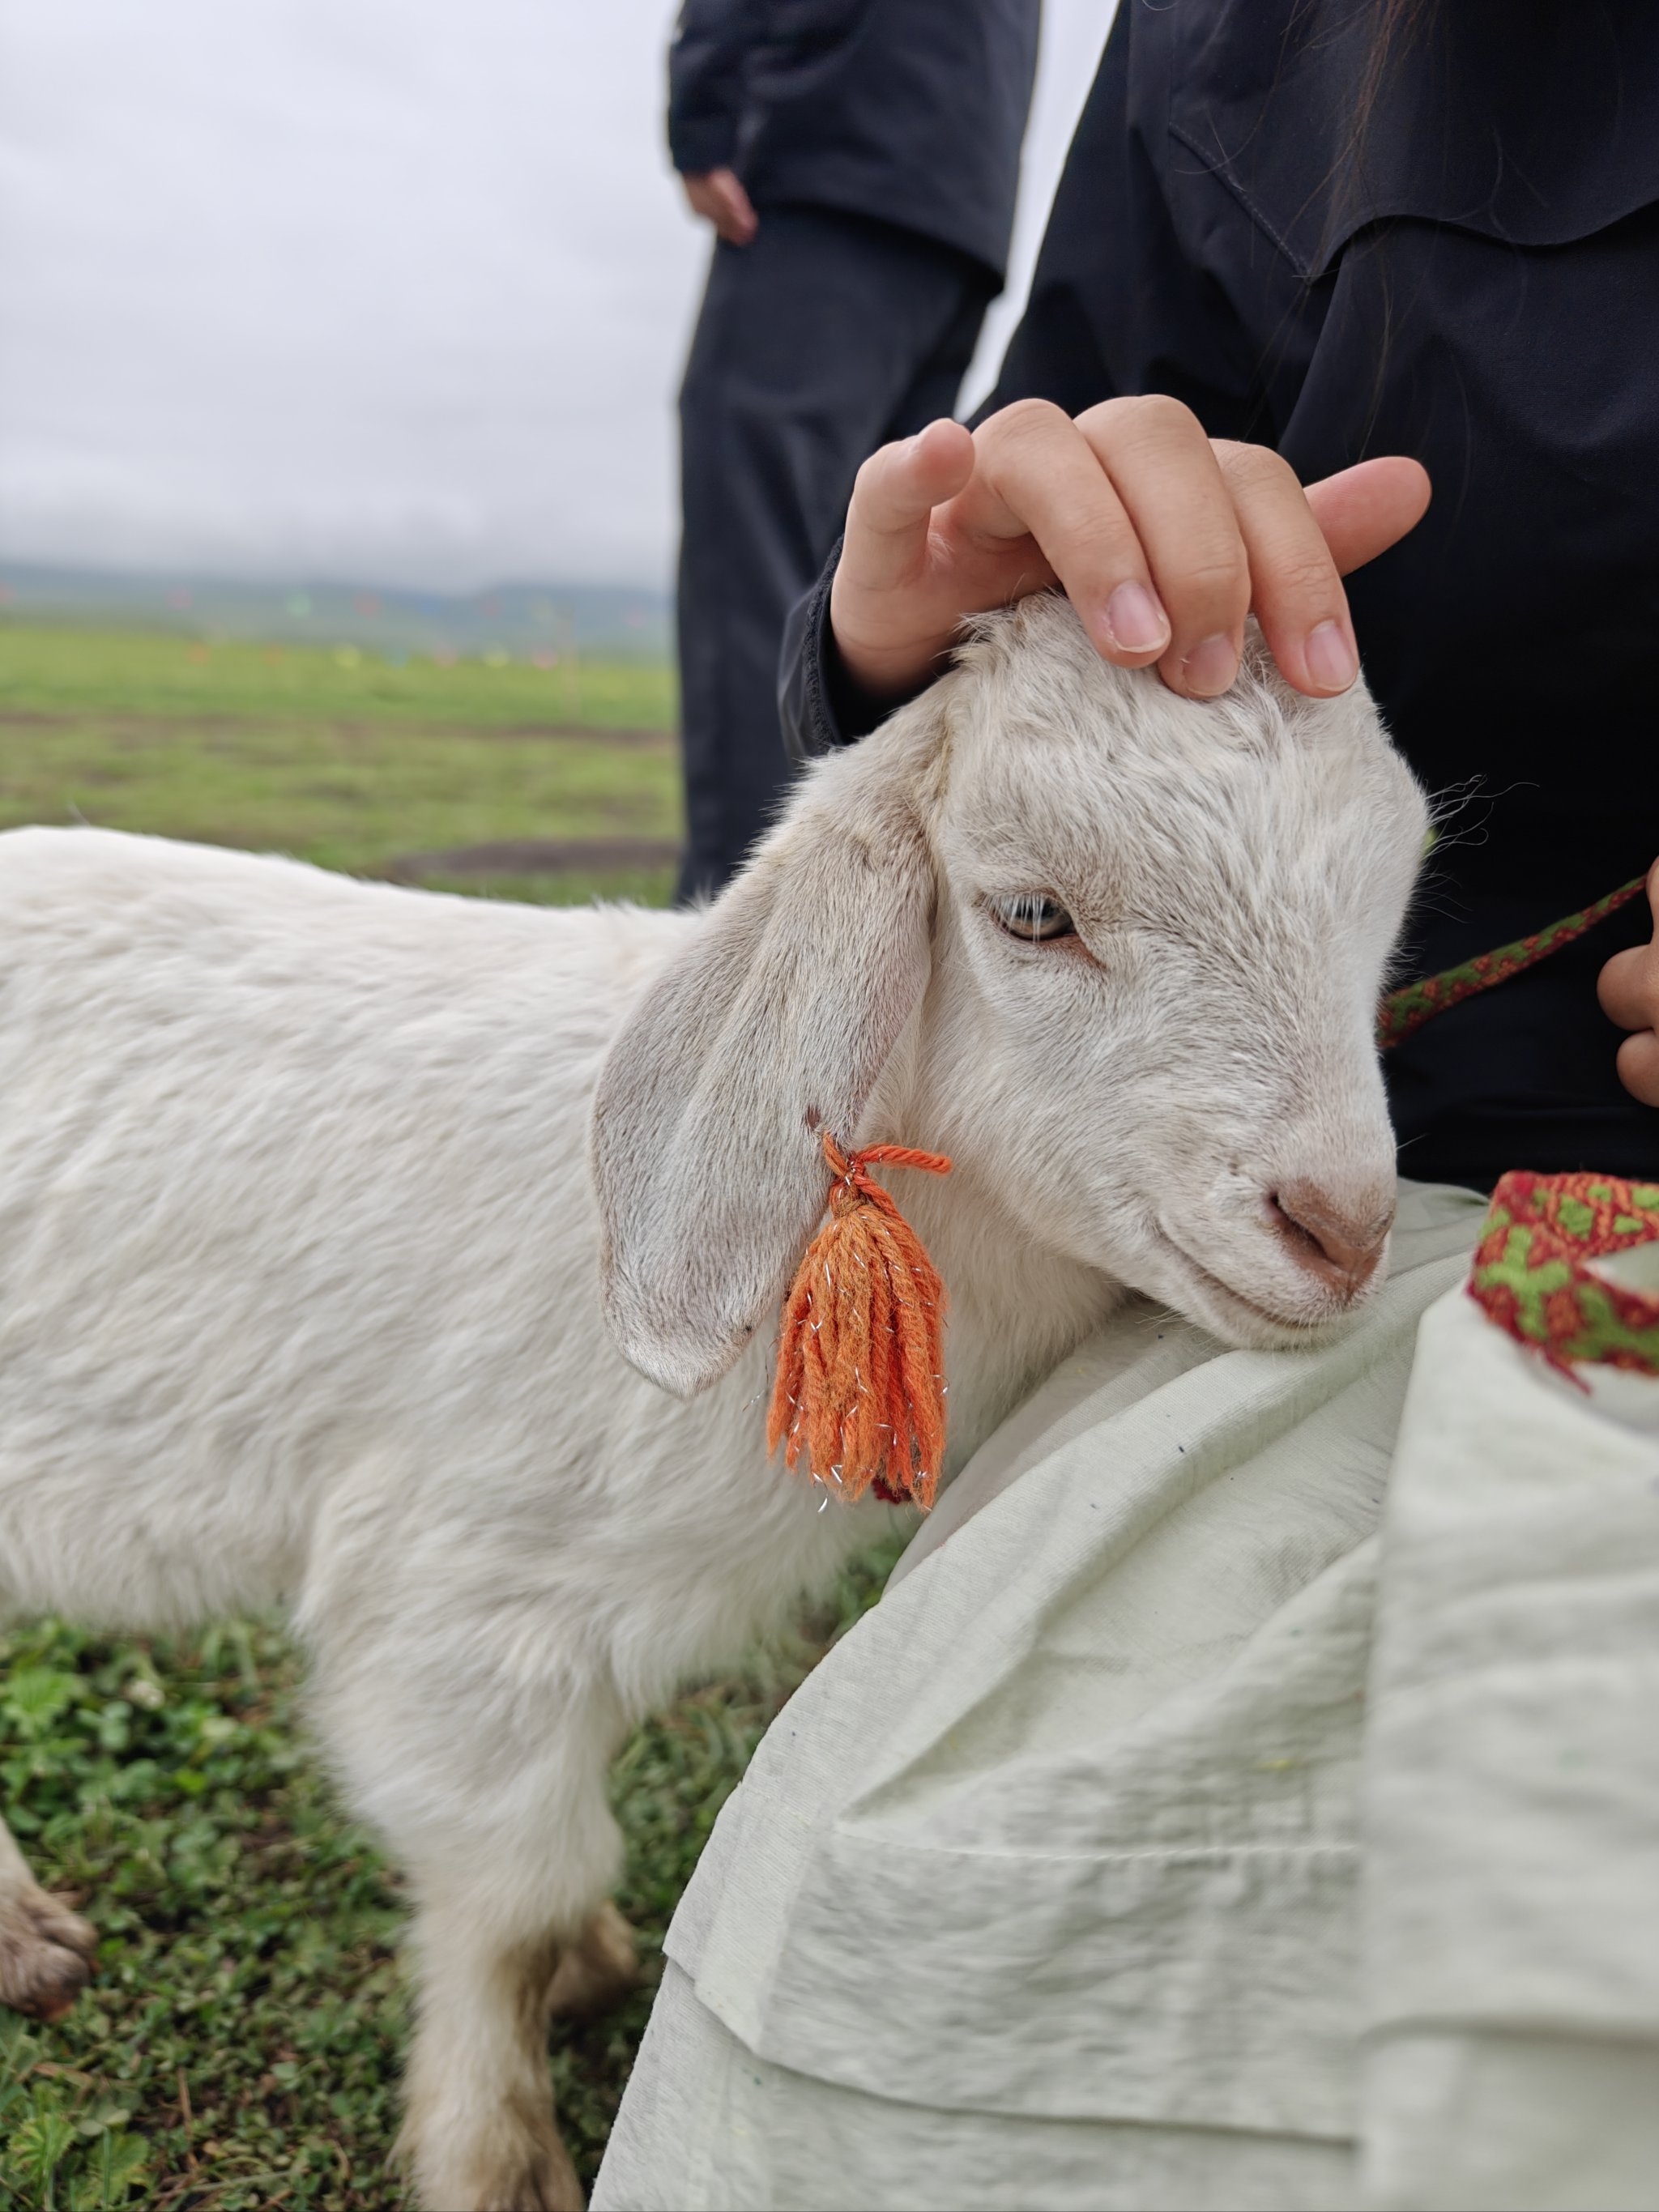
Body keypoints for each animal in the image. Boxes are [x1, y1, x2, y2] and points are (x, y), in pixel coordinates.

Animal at [0, 597, 1433, 2203]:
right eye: (1029, 914)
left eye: (1388, 897)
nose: (1341, 1227)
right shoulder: (453, 1610)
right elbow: (510, 1895)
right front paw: (494, 2148)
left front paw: (579, 1975)